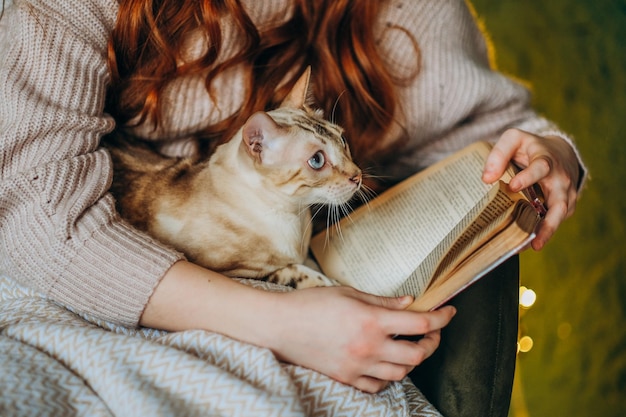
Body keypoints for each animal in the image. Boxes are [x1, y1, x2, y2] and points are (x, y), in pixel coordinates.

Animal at [103, 69, 360, 290]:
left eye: (343, 140)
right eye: (317, 160)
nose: (357, 176)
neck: (294, 216)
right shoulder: (232, 272)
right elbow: (296, 272)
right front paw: (335, 285)